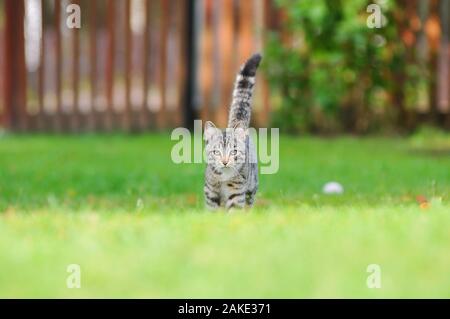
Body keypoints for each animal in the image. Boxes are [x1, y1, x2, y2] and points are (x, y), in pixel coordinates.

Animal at [203, 53, 262, 210]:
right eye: (216, 152)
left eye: (234, 151)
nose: (224, 162)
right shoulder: (210, 192)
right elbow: (211, 211)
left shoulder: (236, 192)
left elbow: (235, 210)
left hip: (251, 186)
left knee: (249, 204)